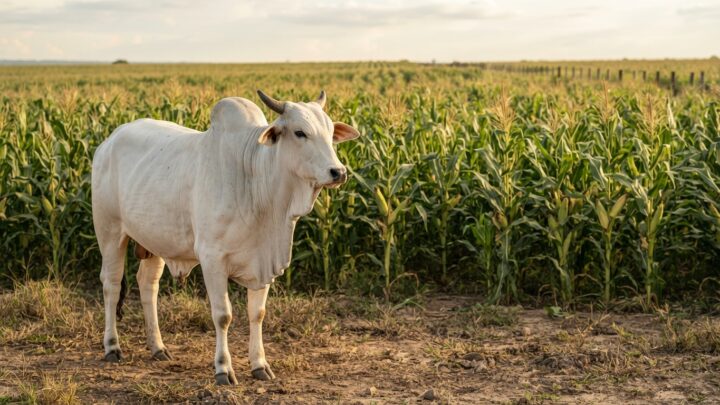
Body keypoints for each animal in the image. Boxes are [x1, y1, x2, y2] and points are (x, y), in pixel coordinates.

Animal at [91, 90, 361, 385]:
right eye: (300, 132)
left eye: (331, 131)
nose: (339, 172)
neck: (255, 182)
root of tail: (109, 140)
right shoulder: (212, 259)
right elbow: (223, 316)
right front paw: (223, 369)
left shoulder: (262, 259)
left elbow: (257, 314)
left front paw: (260, 365)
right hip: (110, 232)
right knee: (110, 285)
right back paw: (112, 347)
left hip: (156, 241)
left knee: (147, 285)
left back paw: (158, 347)